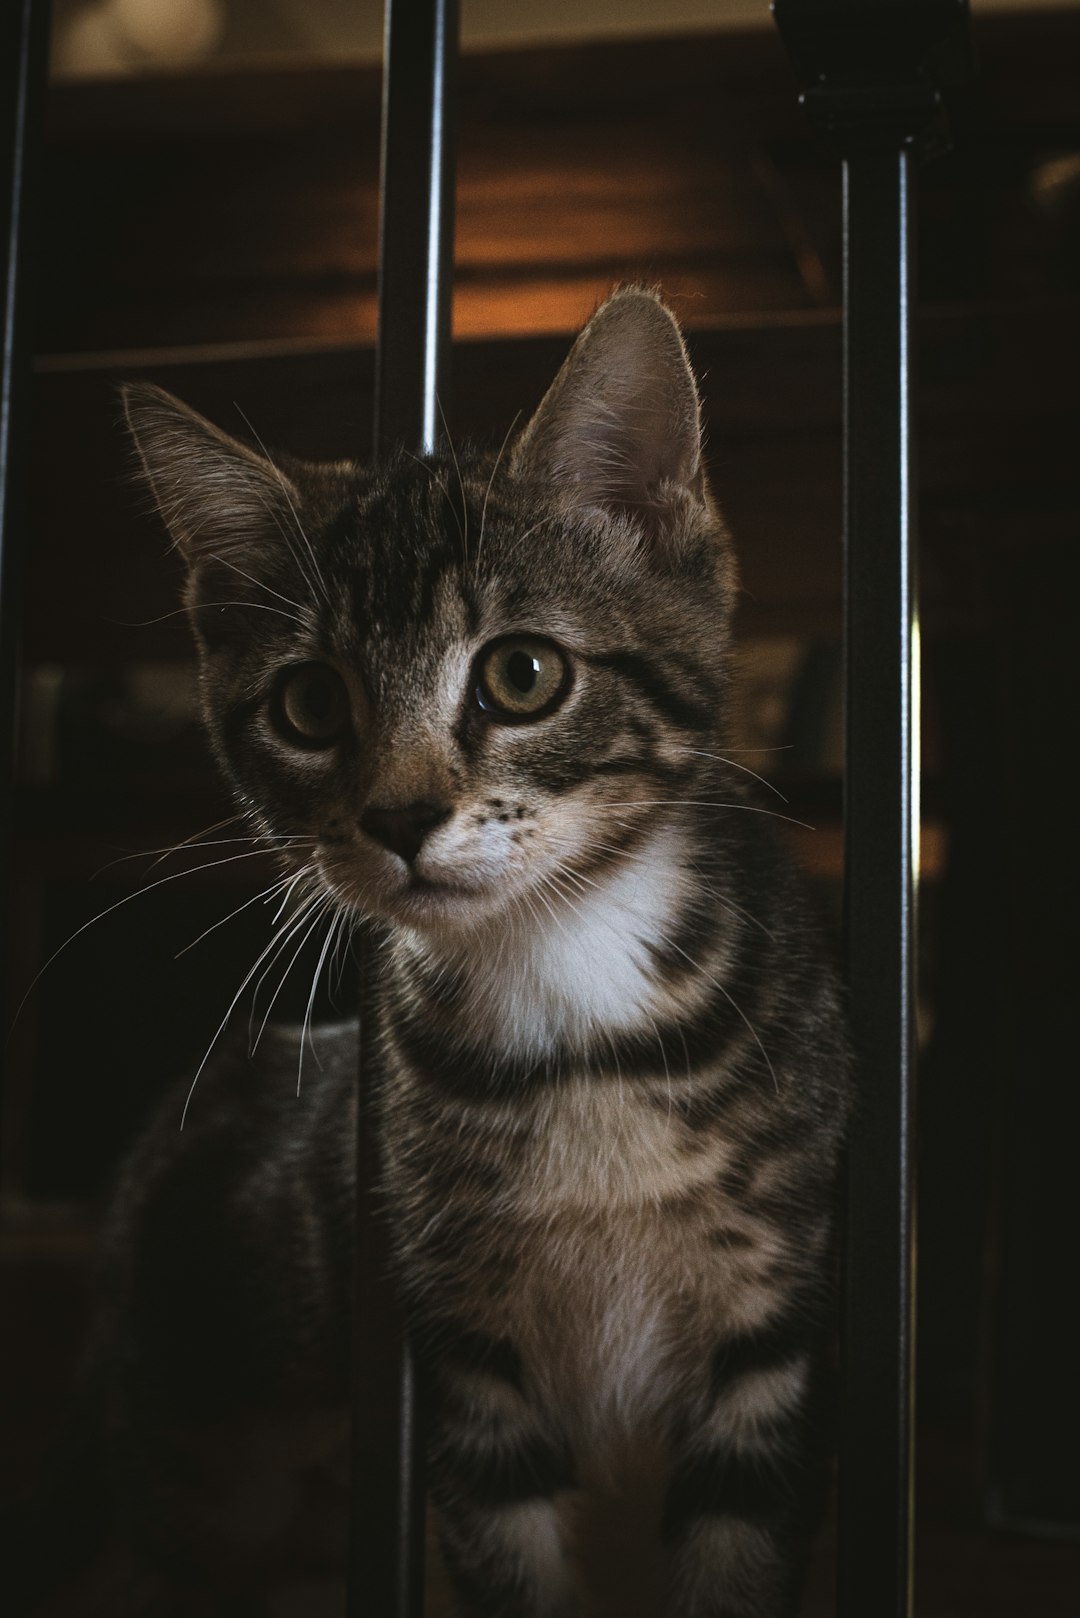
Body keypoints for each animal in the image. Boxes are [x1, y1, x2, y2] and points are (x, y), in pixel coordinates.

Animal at [86, 291, 854, 1618]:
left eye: (523, 673)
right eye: (308, 705)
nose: (399, 818)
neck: (566, 976)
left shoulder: (769, 1345)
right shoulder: (458, 1372)